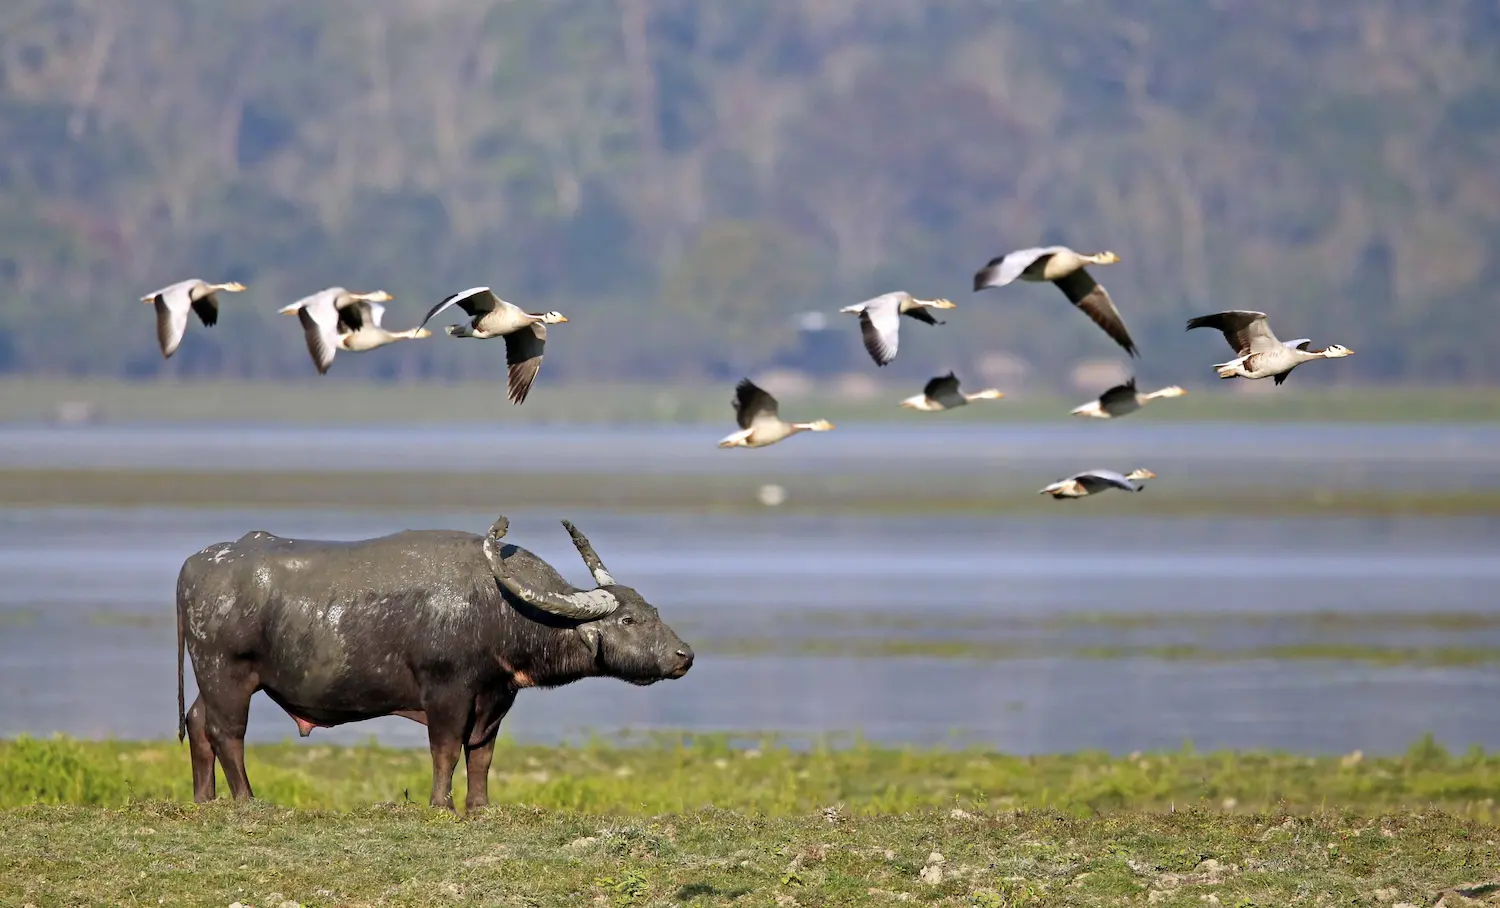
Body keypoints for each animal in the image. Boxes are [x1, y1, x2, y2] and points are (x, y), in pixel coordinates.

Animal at [177, 516, 696, 804]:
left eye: (653, 611)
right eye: (628, 620)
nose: (684, 655)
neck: (500, 607)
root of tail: (195, 565)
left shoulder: (495, 698)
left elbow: (482, 755)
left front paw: (480, 806)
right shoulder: (448, 693)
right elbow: (445, 750)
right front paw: (442, 804)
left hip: (212, 680)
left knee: (198, 723)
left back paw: (205, 800)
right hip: (227, 674)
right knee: (227, 733)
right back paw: (246, 800)